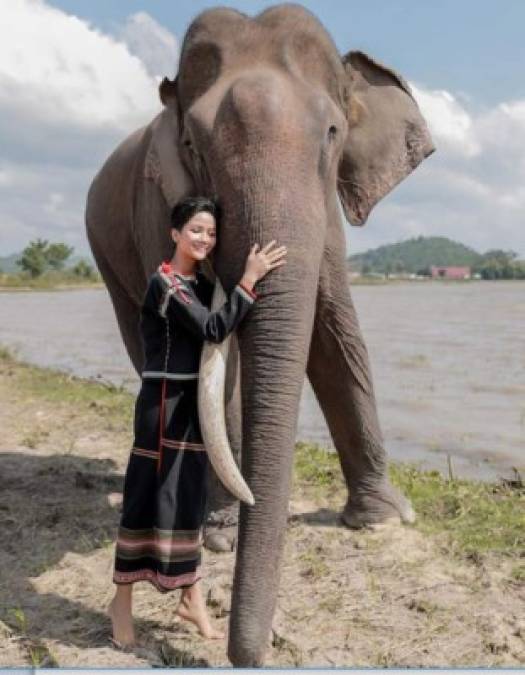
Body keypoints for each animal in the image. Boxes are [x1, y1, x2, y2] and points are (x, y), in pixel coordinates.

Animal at [85, 2, 434, 664]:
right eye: (192, 144)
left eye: (332, 134)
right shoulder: (155, 210)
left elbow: (335, 332)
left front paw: (384, 519)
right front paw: (221, 538)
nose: (251, 652)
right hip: (106, 250)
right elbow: (213, 365)